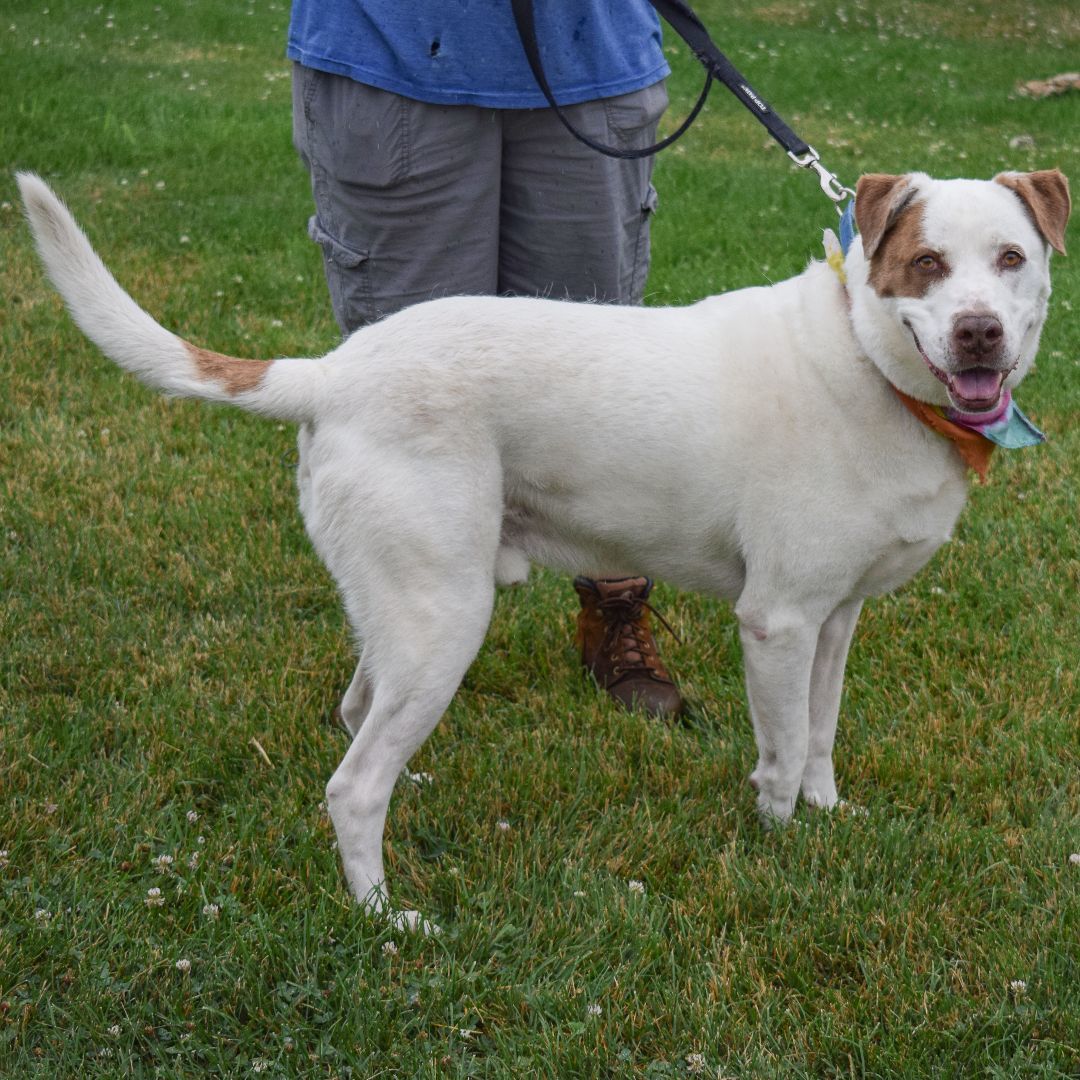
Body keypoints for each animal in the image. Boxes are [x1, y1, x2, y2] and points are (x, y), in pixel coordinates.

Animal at [19, 168, 1071, 928]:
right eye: (926, 263)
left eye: (1011, 258)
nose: (979, 334)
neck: (863, 358)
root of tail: (331, 372)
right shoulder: (776, 621)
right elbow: (776, 757)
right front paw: (780, 854)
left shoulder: (835, 618)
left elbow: (818, 735)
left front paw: (828, 817)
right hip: (446, 612)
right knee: (352, 787)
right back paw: (384, 917)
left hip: (405, 608)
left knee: (360, 715)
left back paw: (411, 787)